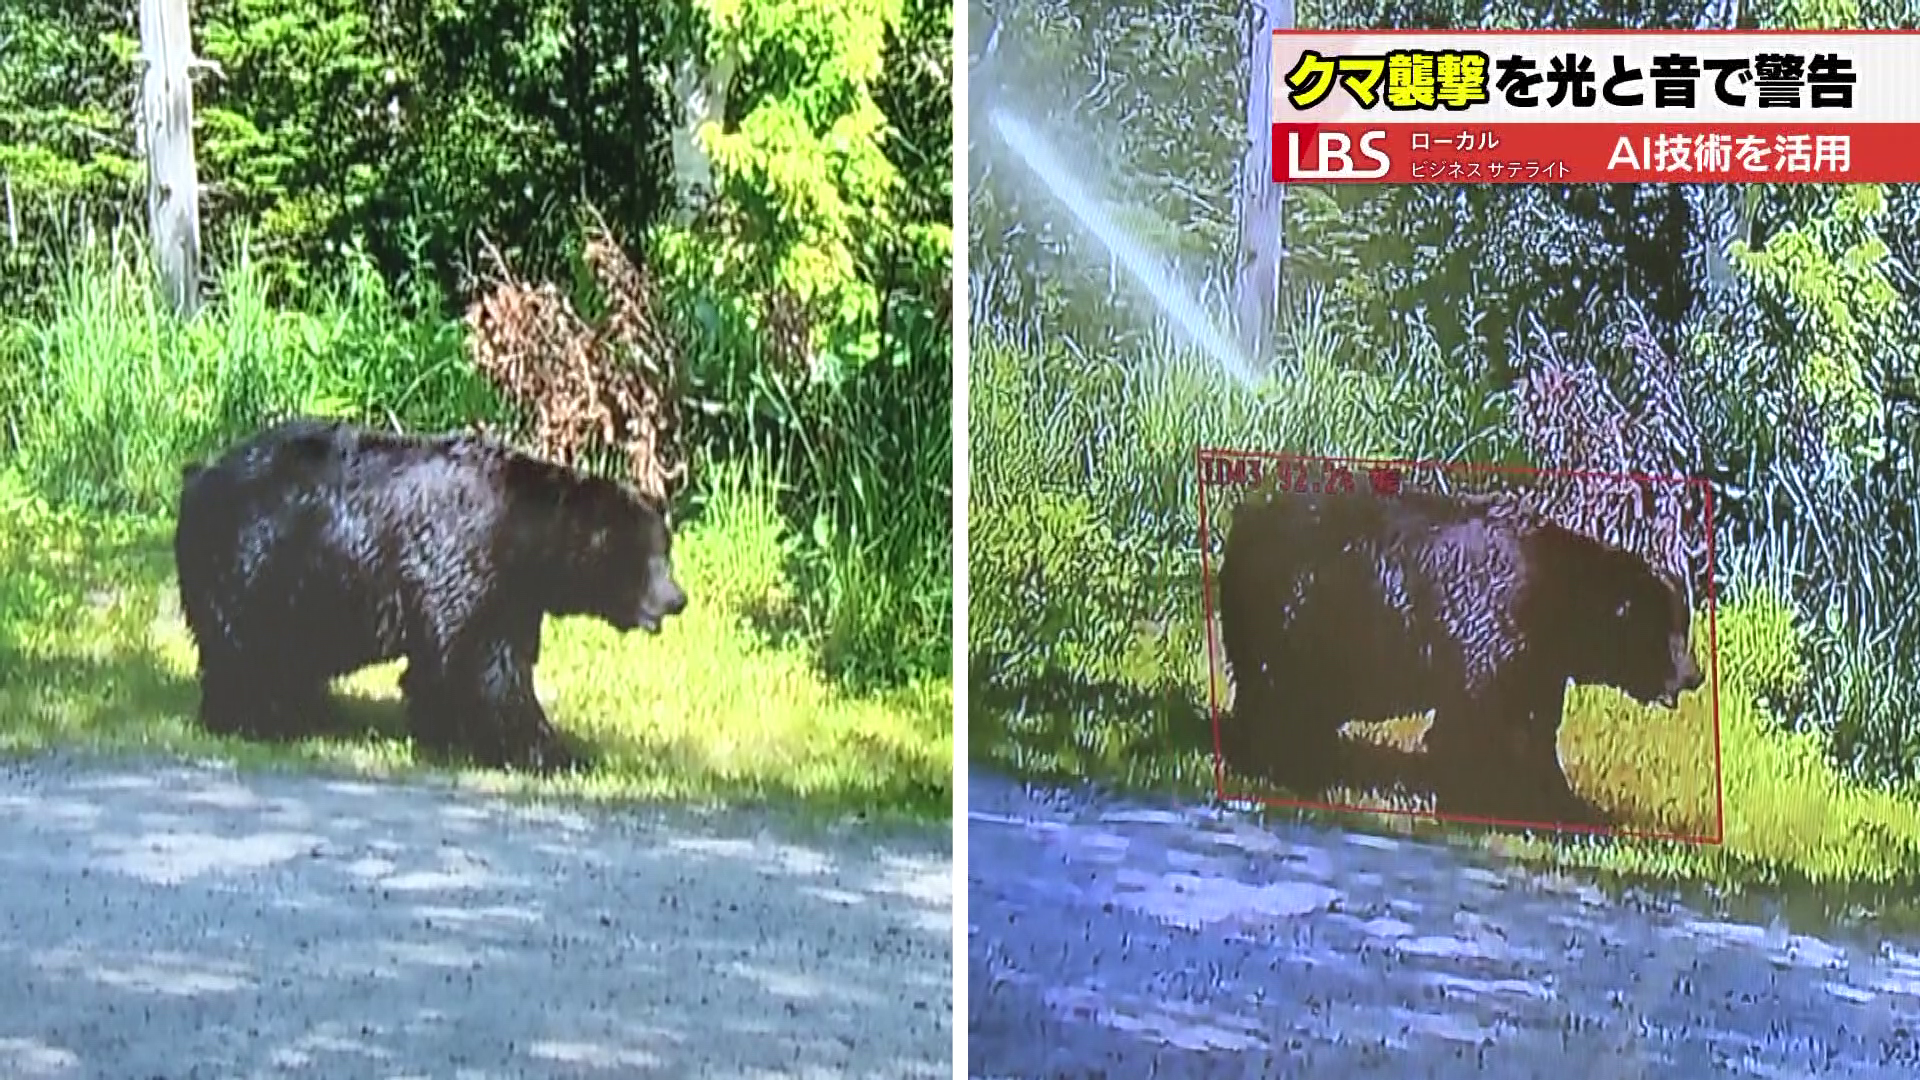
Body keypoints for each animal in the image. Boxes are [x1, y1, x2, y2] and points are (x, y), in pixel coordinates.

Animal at [173, 417, 688, 772]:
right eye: (649, 556)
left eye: (666, 550)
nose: (677, 599)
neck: (525, 536)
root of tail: (197, 478)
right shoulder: (469, 567)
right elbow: (489, 666)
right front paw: (552, 752)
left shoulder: (509, 595)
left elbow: (445, 663)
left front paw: (443, 730)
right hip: (260, 565)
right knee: (246, 651)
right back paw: (257, 719)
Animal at [1215, 485, 1703, 825]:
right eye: (1667, 632)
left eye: (1682, 626)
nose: (1693, 675)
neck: (1561, 608)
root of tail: (1243, 520)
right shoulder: (1493, 632)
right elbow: (1477, 721)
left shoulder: (1538, 664)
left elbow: (1533, 729)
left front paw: (1565, 803)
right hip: (1301, 612)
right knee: (1280, 694)